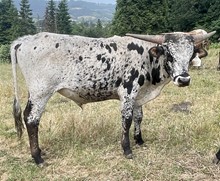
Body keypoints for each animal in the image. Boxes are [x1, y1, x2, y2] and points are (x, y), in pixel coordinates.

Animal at [11, 30, 216, 165]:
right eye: (169, 54)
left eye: (191, 54)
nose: (184, 79)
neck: (147, 57)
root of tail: (26, 40)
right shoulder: (128, 92)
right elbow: (127, 119)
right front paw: (127, 149)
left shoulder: (138, 96)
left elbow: (139, 117)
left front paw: (139, 140)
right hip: (41, 92)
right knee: (31, 119)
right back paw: (37, 157)